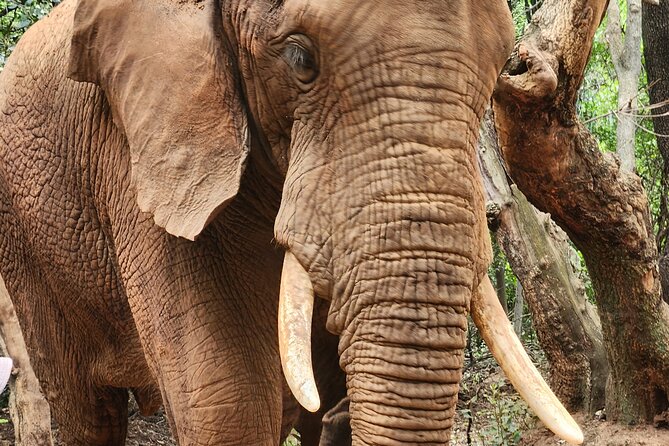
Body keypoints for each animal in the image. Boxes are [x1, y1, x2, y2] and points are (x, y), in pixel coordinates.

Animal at [0, 0, 584, 444]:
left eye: (503, 68)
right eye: (300, 58)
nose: (343, 419)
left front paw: (336, 414)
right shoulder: (144, 155)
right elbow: (229, 401)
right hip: (26, 242)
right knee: (83, 408)